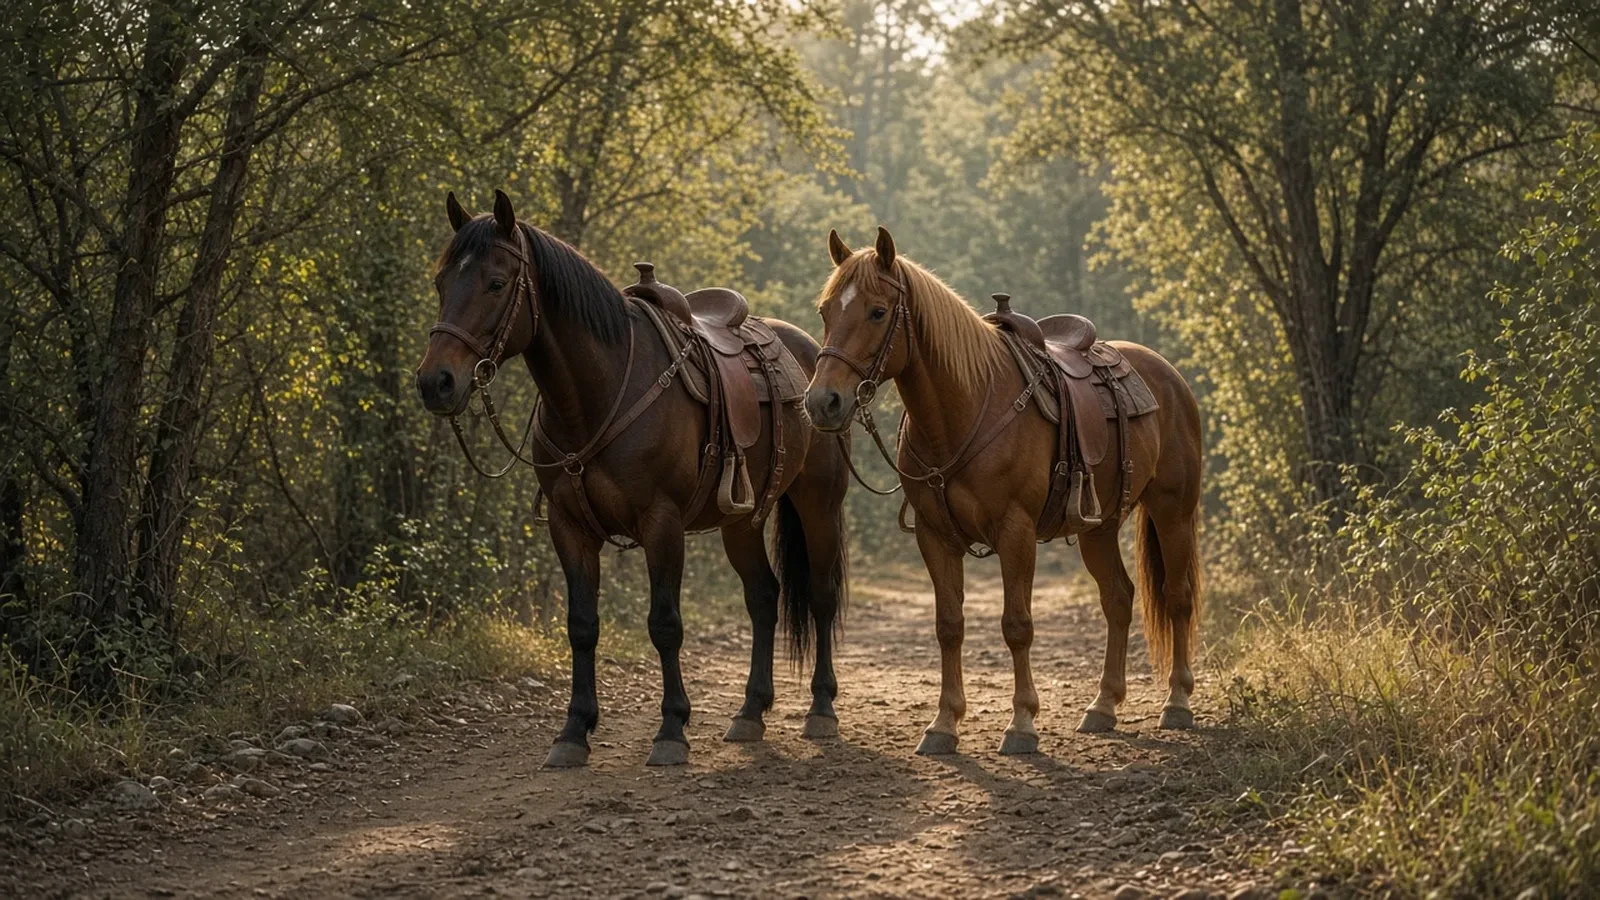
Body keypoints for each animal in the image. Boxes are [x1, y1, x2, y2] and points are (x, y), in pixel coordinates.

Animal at [416, 190, 850, 767]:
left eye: (496, 282)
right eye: (442, 282)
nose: (435, 382)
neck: (597, 393)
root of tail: (810, 358)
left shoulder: (660, 523)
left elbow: (665, 624)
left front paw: (671, 730)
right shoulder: (570, 528)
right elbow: (581, 626)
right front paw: (573, 731)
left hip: (818, 502)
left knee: (821, 596)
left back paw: (821, 709)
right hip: (741, 521)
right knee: (763, 596)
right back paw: (749, 712)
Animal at [803, 227, 1203, 755]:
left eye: (877, 311)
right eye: (826, 310)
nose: (822, 402)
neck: (968, 408)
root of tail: (1169, 378)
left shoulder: (1016, 532)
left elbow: (1017, 625)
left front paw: (1022, 723)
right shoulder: (934, 536)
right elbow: (949, 626)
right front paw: (943, 724)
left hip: (1172, 512)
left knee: (1177, 597)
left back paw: (1177, 701)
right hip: (1099, 528)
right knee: (1118, 598)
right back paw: (1102, 706)